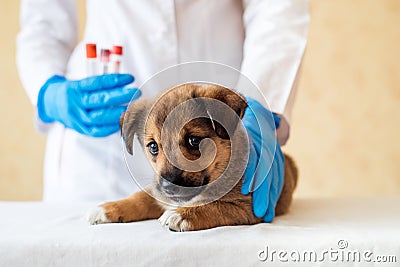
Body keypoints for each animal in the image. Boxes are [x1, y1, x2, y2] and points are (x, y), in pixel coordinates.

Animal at [86, 84, 296, 232]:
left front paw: (182, 215)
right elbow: (139, 198)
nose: (169, 187)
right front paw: (107, 208)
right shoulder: (158, 193)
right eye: (153, 147)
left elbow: (215, 207)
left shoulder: (247, 207)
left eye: (194, 141)